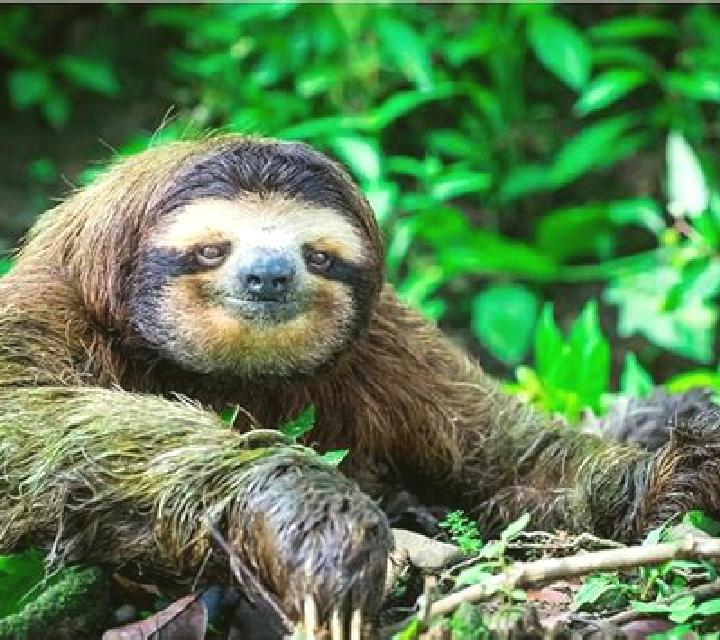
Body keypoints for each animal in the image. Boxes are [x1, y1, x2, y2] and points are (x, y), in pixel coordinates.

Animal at [1, 135, 720, 634]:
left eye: (319, 256)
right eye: (211, 249)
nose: (269, 275)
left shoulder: (394, 346)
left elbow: (507, 455)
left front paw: (670, 475)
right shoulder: (50, 306)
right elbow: (30, 420)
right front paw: (304, 512)